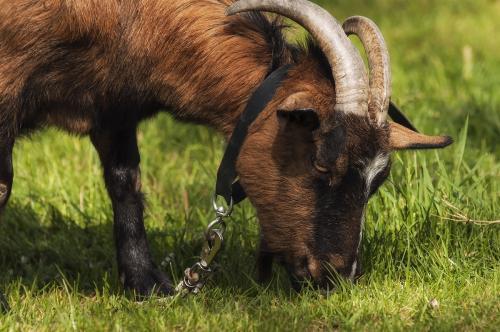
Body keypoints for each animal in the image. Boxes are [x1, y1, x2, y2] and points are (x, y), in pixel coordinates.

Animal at [0, 0, 454, 296]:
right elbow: (3, 187)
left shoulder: (114, 104)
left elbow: (125, 183)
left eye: (377, 182)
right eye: (322, 164)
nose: (337, 276)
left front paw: (147, 286)